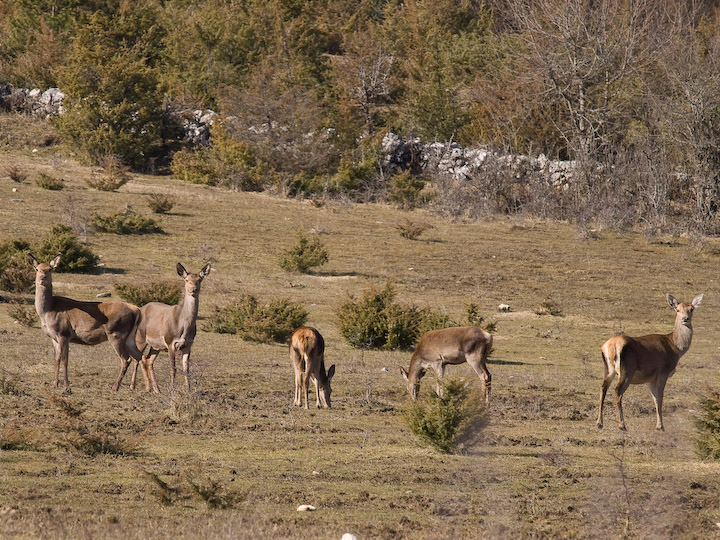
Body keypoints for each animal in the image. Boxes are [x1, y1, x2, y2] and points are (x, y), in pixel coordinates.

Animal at [28, 251, 143, 390]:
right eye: (37, 269)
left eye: (50, 269)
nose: (42, 277)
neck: (47, 311)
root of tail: (137, 310)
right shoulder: (54, 337)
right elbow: (56, 359)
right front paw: (54, 384)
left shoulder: (63, 333)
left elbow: (65, 359)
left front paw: (66, 385)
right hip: (130, 337)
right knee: (139, 356)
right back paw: (145, 387)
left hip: (117, 334)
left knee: (126, 359)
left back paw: (115, 386)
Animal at [129, 262, 211, 392]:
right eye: (186, 280)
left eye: (199, 279)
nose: (193, 289)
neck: (184, 328)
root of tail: (140, 309)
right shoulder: (170, 342)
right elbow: (173, 369)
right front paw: (172, 389)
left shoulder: (188, 345)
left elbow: (186, 370)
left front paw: (188, 390)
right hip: (140, 338)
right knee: (137, 358)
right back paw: (136, 387)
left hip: (156, 346)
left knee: (148, 360)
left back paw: (156, 389)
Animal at [596, 294, 704, 432]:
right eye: (677, 309)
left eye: (691, 309)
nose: (685, 319)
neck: (675, 347)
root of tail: (611, 346)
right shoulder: (663, 372)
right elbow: (660, 398)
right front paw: (661, 426)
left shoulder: (651, 378)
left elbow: (655, 399)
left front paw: (658, 425)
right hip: (627, 370)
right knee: (617, 391)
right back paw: (622, 425)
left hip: (608, 369)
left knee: (603, 388)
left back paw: (599, 423)